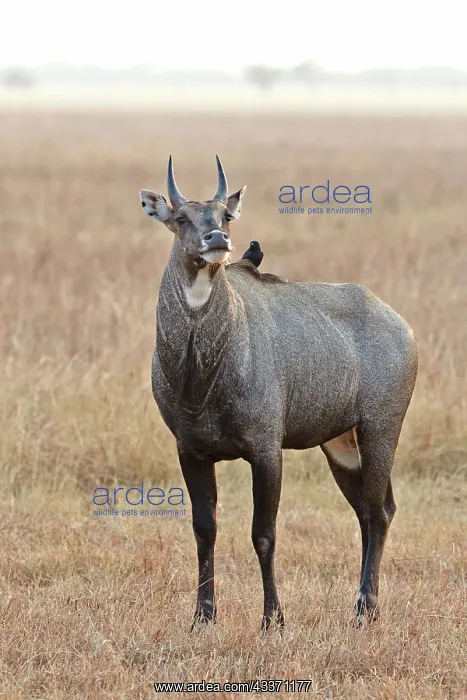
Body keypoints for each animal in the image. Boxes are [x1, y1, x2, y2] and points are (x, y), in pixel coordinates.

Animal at [139, 156, 418, 631]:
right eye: (181, 218)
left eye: (225, 215)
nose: (218, 240)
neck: (201, 377)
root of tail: (399, 323)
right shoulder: (190, 450)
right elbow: (204, 529)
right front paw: (203, 617)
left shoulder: (266, 449)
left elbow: (263, 534)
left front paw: (273, 620)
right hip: (341, 445)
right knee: (368, 511)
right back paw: (364, 607)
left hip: (380, 430)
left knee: (379, 512)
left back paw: (364, 611)